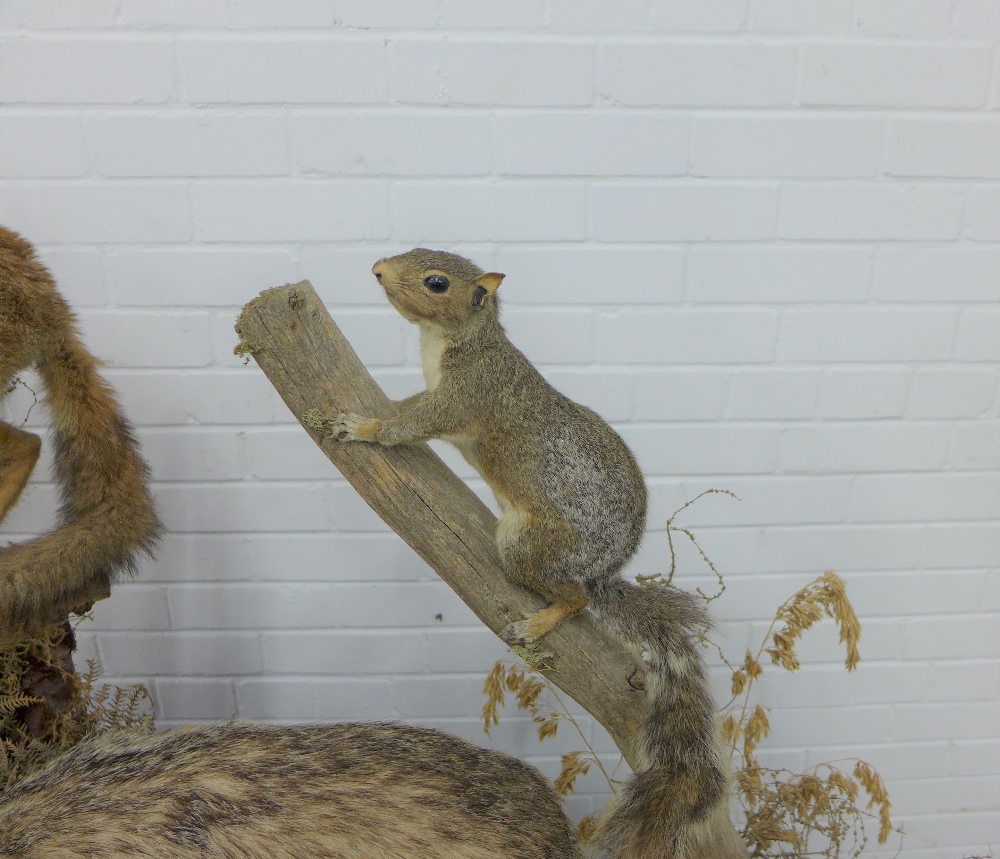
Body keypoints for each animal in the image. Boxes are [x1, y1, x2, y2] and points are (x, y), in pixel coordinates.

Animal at [332, 252, 748, 859]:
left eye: (437, 282)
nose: (378, 269)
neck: (456, 340)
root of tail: (600, 571)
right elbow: (408, 406)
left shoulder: (466, 396)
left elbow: (409, 424)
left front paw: (363, 426)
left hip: (527, 542)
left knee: (574, 598)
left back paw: (542, 619)